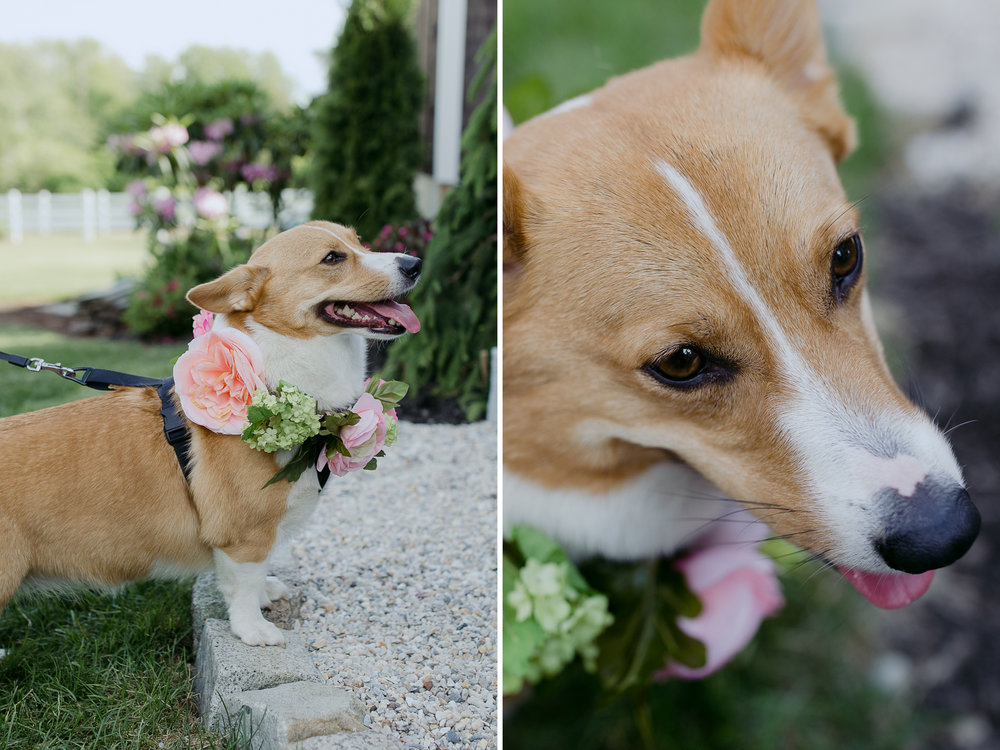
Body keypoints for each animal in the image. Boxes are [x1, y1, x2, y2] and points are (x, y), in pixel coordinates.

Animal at [0, 222, 420, 648]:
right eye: (332, 258)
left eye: (359, 241)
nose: (415, 263)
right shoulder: (244, 536)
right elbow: (244, 585)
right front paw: (253, 630)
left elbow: (246, 580)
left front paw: (265, 594)